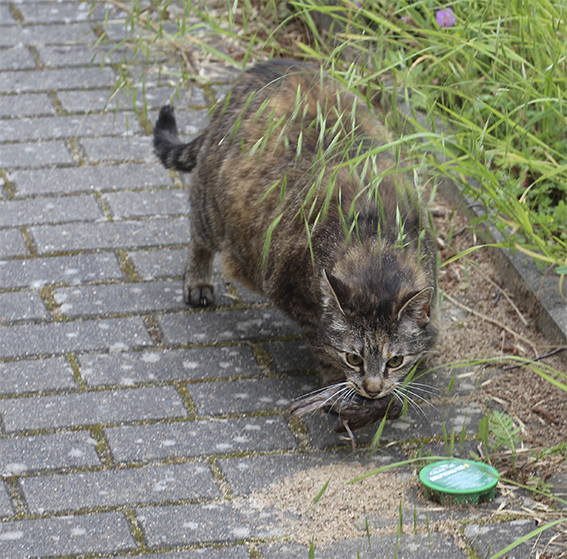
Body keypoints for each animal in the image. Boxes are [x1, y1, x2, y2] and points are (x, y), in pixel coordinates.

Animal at [154, 58, 440, 434]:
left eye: (396, 360)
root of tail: (267, 65)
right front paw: (342, 395)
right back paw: (197, 281)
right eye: (354, 357)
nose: (372, 387)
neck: (377, 246)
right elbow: (324, 349)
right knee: (199, 237)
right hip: (212, 207)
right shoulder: (295, 295)